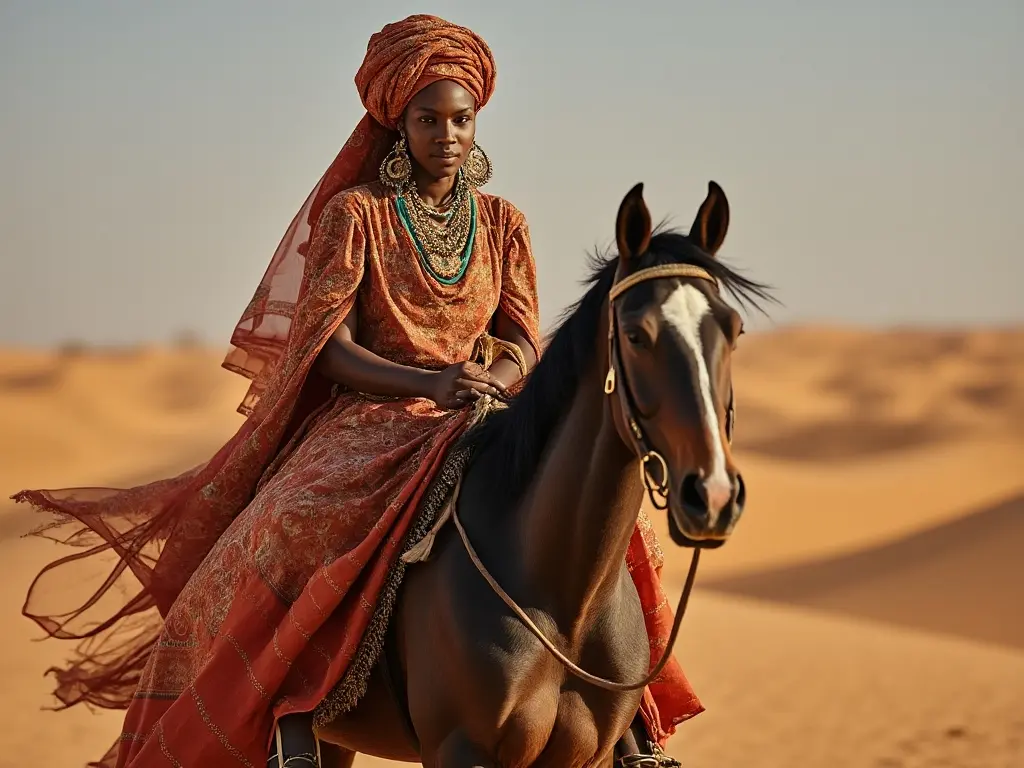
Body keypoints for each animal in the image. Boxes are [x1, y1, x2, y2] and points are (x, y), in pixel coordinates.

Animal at [315, 183, 770, 765]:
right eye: (635, 335)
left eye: (733, 330)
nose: (710, 495)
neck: (565, 600)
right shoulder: (459, 747)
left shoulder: (587, 754)